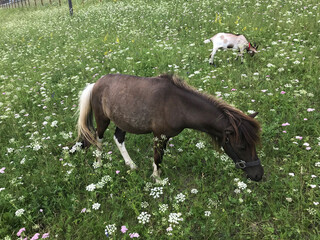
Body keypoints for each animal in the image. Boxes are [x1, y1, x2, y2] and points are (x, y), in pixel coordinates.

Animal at [76, 74, 264, 181]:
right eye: (242, 146)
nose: (258, 175)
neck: (178, 105)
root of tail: (95, 84)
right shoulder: (159, 135)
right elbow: (157, 157)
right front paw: (157, 180)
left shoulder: (165, 136)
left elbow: (159, 157)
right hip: (103, 120)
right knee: (98, 138)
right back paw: (99, 164)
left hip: (122, 121)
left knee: (118, 138)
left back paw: (131, 165)